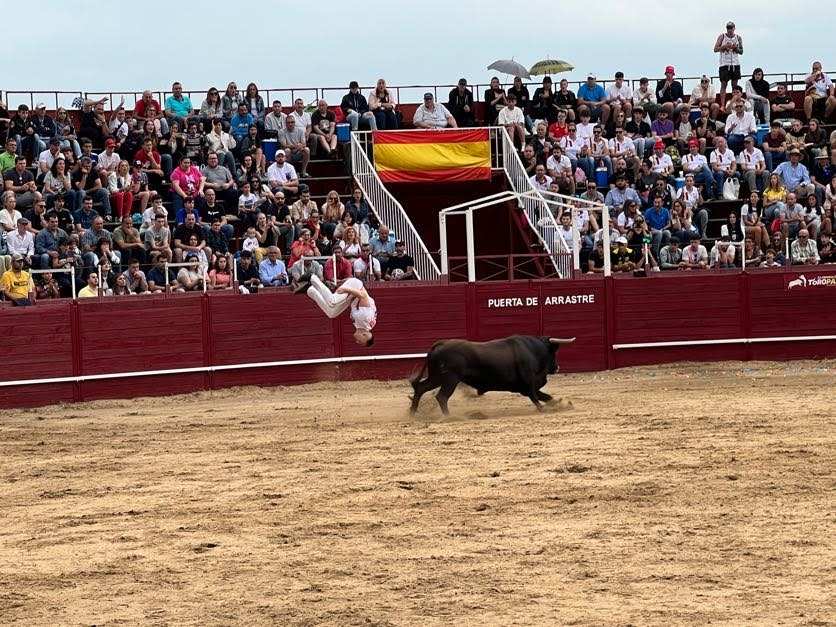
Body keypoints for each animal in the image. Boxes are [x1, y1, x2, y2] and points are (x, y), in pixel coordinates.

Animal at [409, 335, 575, 415]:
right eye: (553, 351)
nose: (557, 367)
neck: (533, 351)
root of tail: (441, 344)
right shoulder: (529, 383)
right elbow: (536, 397)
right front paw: (544, 409)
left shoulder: (525, 387)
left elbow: (546, 396)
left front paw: (560, 404)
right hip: (450, 379)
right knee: (442, 396)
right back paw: (448, 416)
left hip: (437, 377)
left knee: (421, 388)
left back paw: (412, 413)